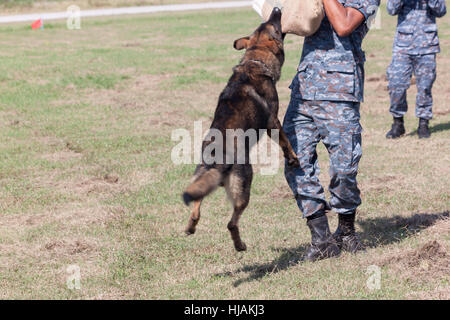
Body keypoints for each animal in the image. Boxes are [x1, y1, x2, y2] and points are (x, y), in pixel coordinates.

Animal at [181, 8, 300, 252]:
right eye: (274, 25)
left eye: (265, 24)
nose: (276, 9)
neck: (254, 60)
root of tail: (218, 159)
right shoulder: (273, 122)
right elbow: (285, 141)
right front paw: (293, 158)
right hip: (244, 188)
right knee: (231, 223)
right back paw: (240, 245)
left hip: (199, 180)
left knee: (196, 210)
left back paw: (190, 228)